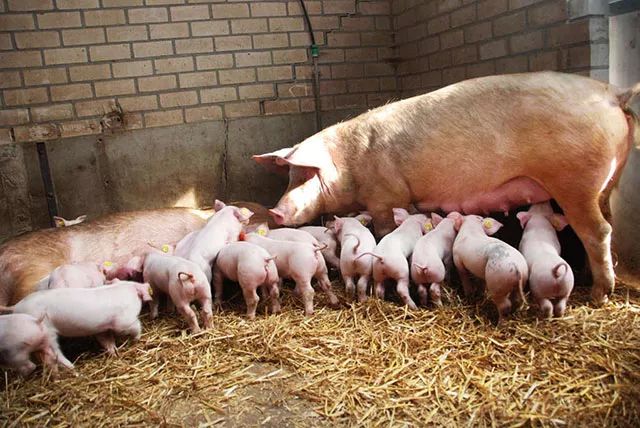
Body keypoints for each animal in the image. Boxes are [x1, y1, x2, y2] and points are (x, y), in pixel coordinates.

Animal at [0, 281, 153, 368]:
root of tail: (16, 307)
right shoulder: (123, 321)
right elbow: (136, 326)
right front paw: (137, 339)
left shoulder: (101, 328)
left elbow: (106, 341)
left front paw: (114, 354)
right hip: (48, 332)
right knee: (54, 354)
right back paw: (73, 369)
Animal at [254, 72, 640, 305]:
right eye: (289, 176)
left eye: (305, 176)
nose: (274, 210)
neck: (351, 164)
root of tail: (612, 93)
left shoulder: (386, 196)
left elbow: (383, 232)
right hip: (608, 183)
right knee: (606, 223)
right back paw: (592, 280)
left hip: (575, 181)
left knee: (597, 231)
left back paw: (599, 295)